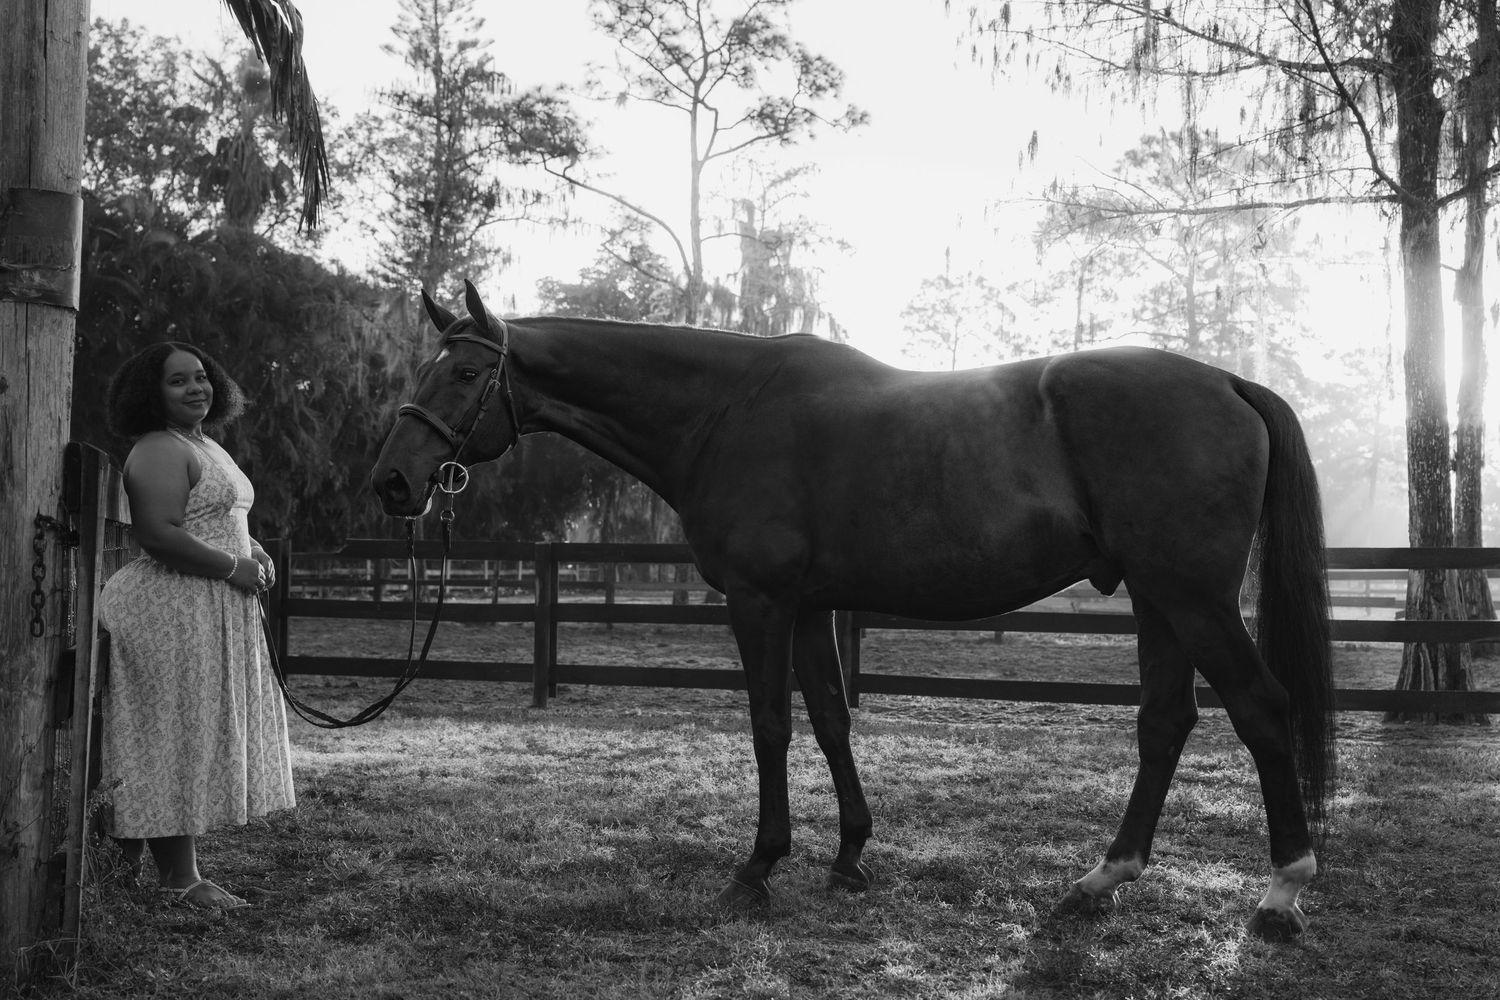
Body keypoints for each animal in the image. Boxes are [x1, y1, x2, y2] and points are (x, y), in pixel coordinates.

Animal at [371, 280, 1335, 941]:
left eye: (465, 372)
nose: (394, 483)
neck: (726, 411)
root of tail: (1229, 382)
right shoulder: (809, 608)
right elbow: (831, 720)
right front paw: (848, 857)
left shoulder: (761, 603)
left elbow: (770, 725)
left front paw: (757, 868)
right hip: (1158, 600)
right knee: (1165, 722)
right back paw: (1102, 879)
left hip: (1191, 597)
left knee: (1262, 709)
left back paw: (1282, 890)